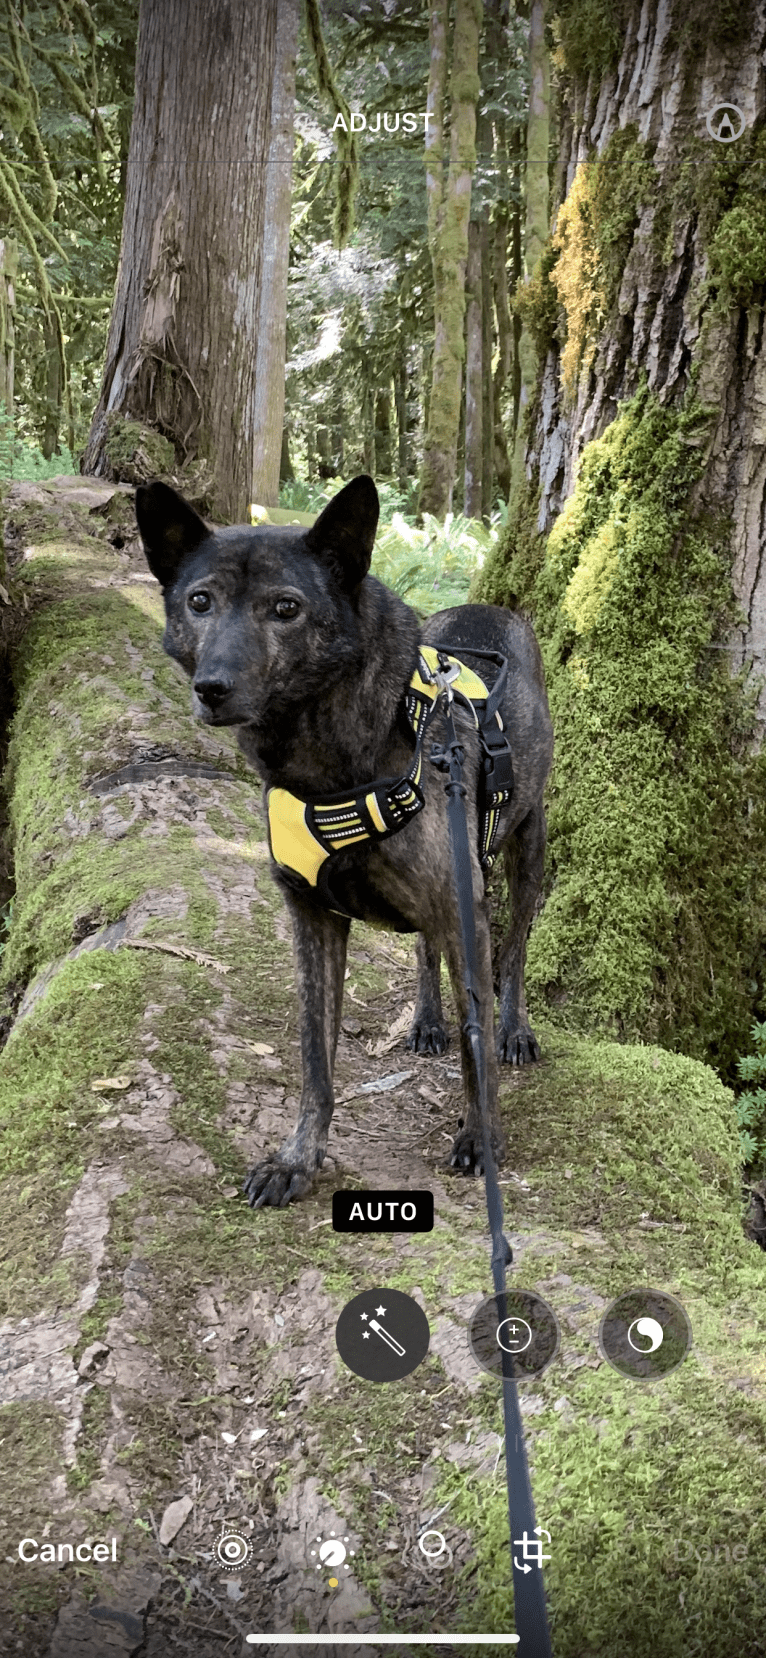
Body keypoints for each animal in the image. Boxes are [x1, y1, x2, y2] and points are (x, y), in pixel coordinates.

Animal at [133, 474, 550, 1213]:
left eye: (286, 608)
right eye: (199, 601)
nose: (212, 688)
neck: (330, 759)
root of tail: (488, 608)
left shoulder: (462, 904)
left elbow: (475, 1051)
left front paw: (481, 1137)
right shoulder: (313, 920)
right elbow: (315, 1059)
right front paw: (298, 1158)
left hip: (527, 849)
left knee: (516, 951)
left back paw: (514, 1028)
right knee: (426, 950)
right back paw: (426, 1019)